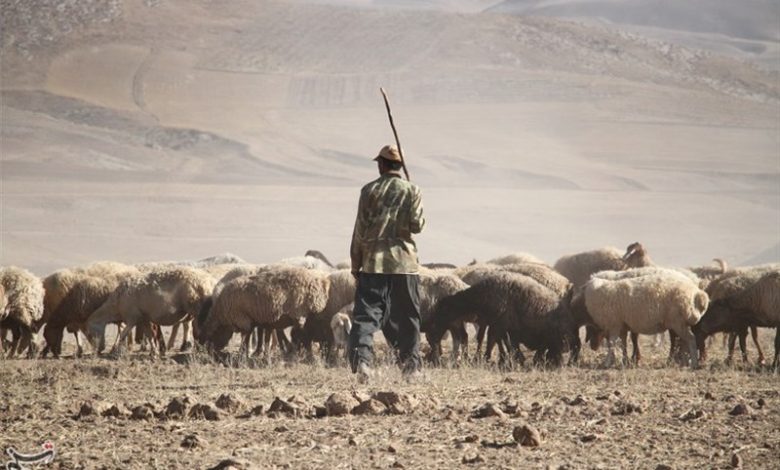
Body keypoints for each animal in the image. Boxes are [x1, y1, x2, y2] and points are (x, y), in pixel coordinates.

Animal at [197, 266, 330, 354]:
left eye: (210, 336)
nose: (209, 352)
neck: (221, 314)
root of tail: (319, 283)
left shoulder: (243, 319)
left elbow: (246, 337)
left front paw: (243, 353)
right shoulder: (256, 320)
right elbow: (258, 336)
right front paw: (256, 352)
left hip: (299, 313)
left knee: (302, 333)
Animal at [424, 272, 576, 368]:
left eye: (443, 310)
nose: (431, 326)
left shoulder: (501, 323)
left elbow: (499, 340)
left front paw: (502, 359)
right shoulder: (498, 323)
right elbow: (500, 341)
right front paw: (505, 359)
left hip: (555, 337)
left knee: (553, 350)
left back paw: (550, 362)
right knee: (547, 350)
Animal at [572, 274, 708, 370]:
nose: (593, 347)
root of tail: (697, 293)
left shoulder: (614, 324)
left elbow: (612, 343)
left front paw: (607, 363)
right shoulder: (622, 326)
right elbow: (623, 344)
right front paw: (624, 361)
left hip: (678, 322)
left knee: (691, 339)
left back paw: (694, 363)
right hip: (680, 323)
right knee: (685, 341)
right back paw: (685, 362)